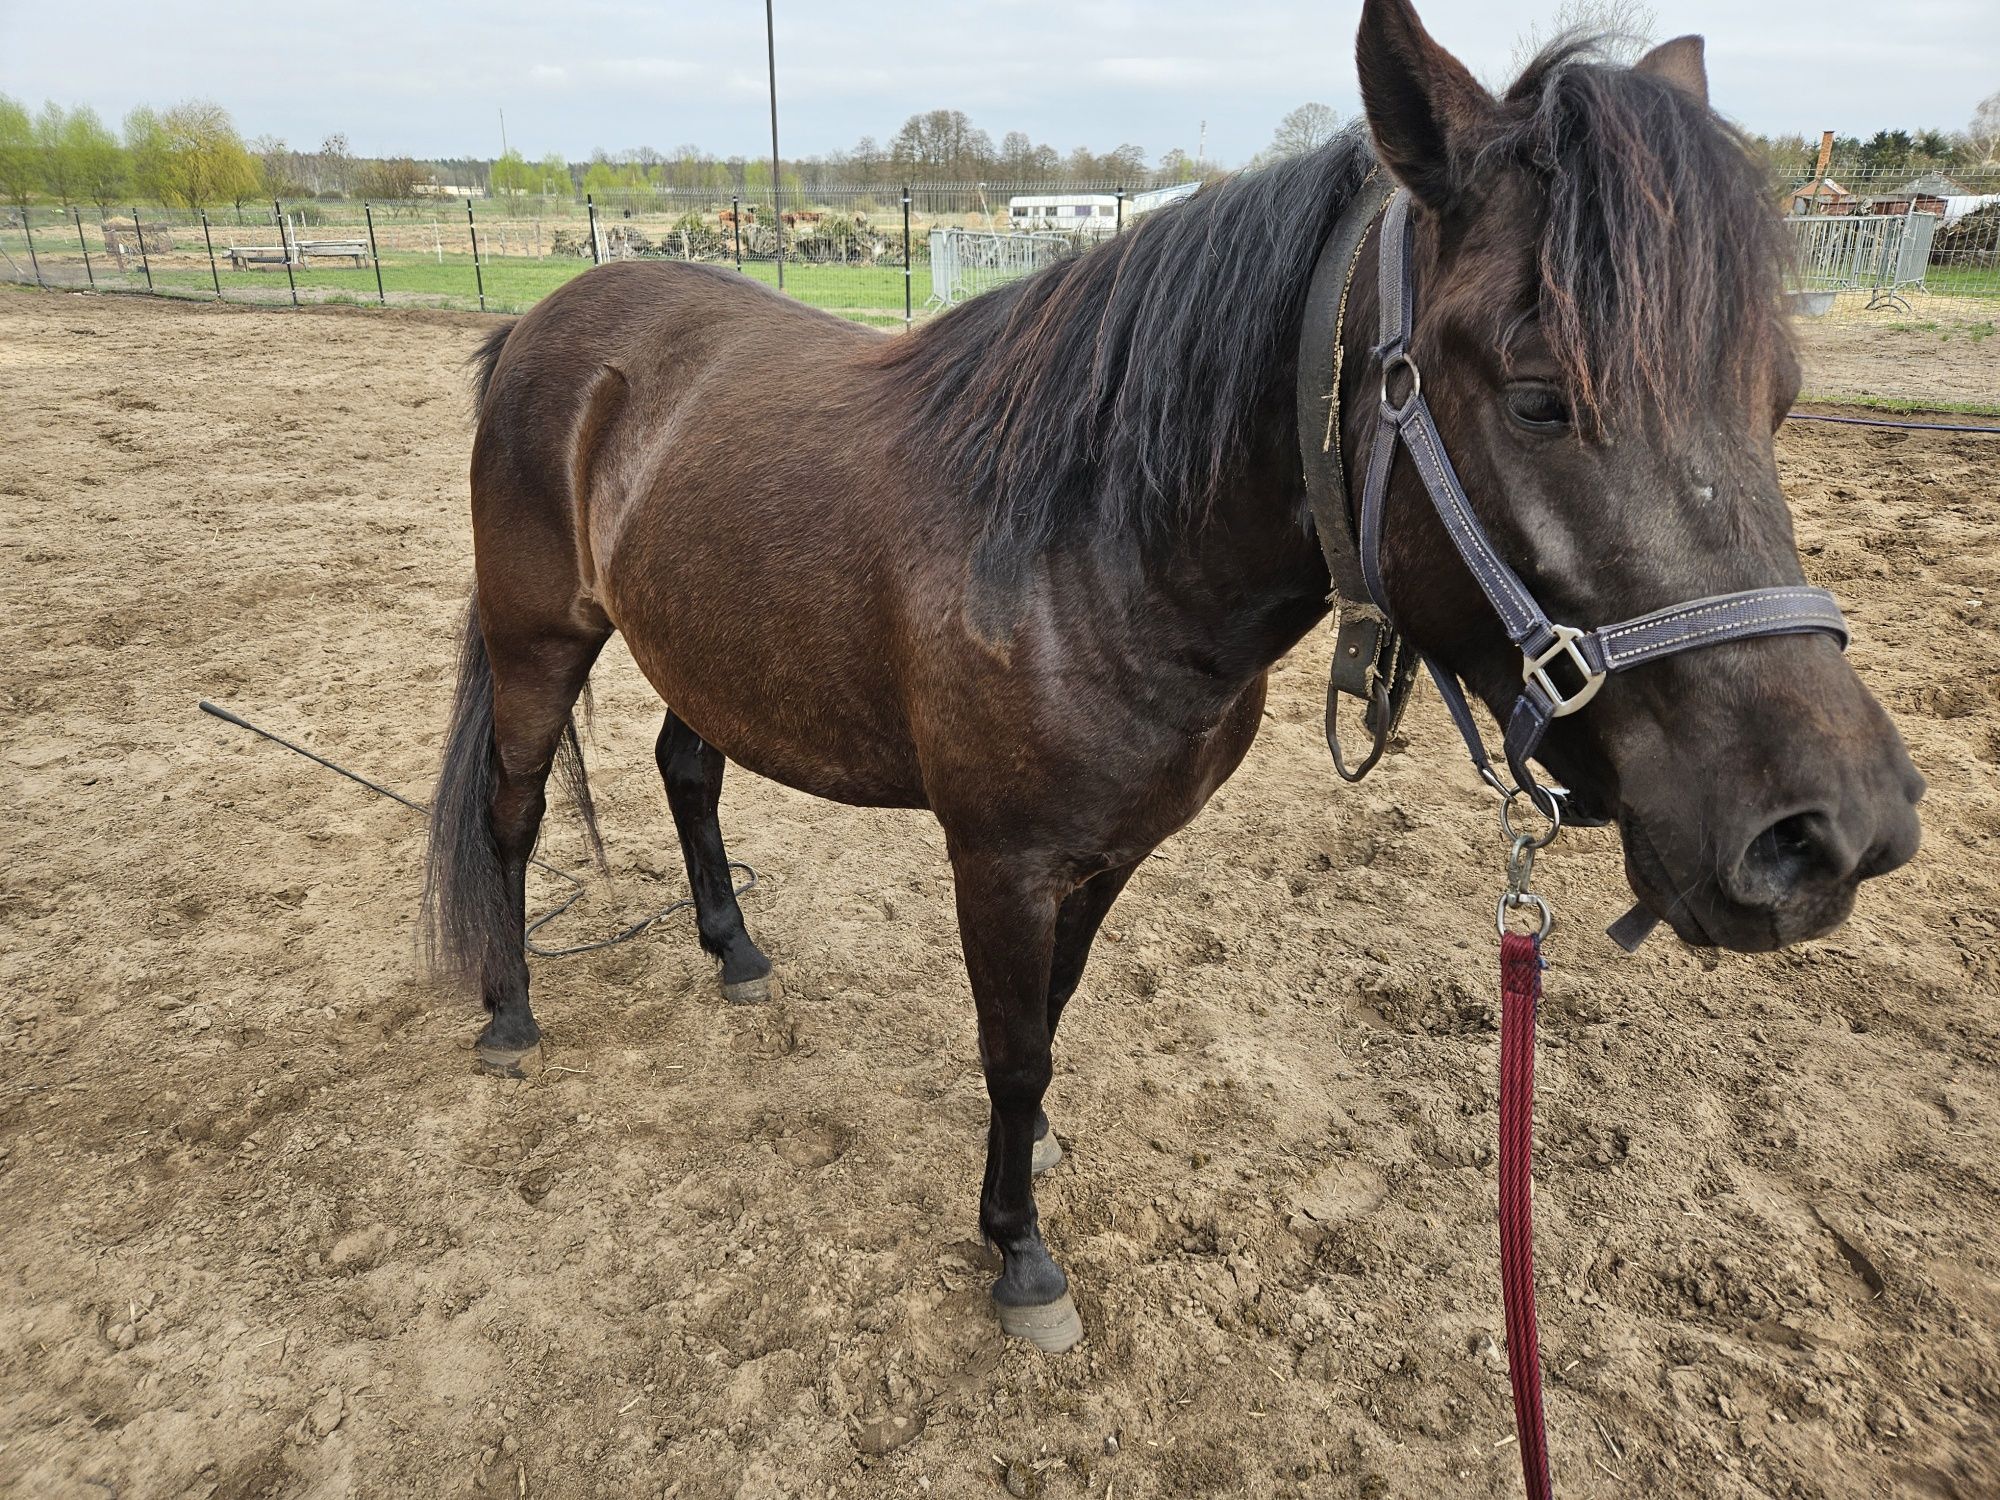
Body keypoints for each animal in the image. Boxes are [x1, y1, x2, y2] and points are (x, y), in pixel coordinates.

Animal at [422, 0, 1920, 1360]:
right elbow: (1012, 1044)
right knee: (512, 814)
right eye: (1541, 395)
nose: (1830, 831)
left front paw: (1023, 1166)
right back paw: (510, 1015)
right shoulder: (1004, 861)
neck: (1088, 545)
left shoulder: (1110, 853)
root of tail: (551, 323)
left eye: (1777, 398)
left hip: (708, 650)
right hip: (539, 641)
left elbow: (1049, 1027)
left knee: (685, 771)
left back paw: (733, 951)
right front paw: (1019, 1256)